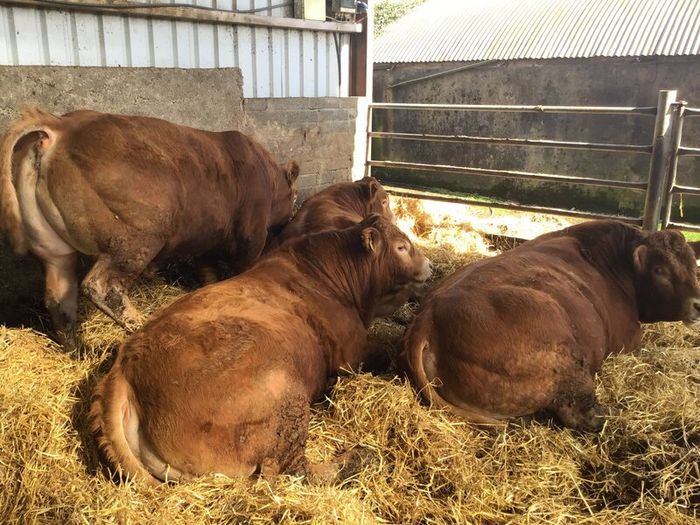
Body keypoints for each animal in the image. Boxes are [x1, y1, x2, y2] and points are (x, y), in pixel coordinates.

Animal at [0, 107, 299, 341]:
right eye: (294, 196)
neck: (268, 177)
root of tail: (63, 127)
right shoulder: (251, 235)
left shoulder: (206, 242)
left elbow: (208, 274)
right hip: (135, 239)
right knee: (101, 286)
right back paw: (140, 324)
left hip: (53, 251)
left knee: (59, 300)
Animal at [90, 214, 431, 484]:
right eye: (401, 246)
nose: (429, 264)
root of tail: (127, 362)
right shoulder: (352, 352)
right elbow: (384, 350)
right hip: (284, 398)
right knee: (293, 470)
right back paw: (360, 458)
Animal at [400, 220, 700, 432]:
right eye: (660, 270)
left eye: (693, 266)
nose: (698, 304)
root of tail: (428, 317)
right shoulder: (629, 339)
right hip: (565, 360)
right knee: (578, 412)